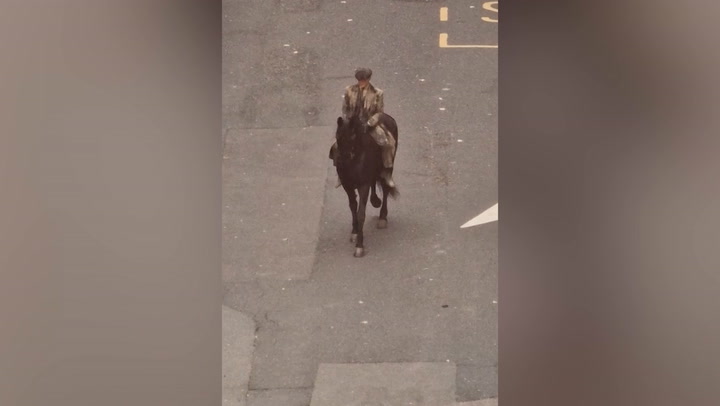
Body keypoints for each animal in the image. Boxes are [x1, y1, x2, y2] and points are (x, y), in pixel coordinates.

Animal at [334, 112, 396, 256]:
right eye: (337, 136)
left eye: (352, 136)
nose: (340, 161)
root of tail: (387, 116)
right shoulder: (347, 185)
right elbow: (353, 207)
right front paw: (355, 232)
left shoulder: (363, 185)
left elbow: (361, 213)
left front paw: (359, 246)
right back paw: (375, 200)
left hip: (387, 169)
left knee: (385, 188)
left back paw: (382, 218)